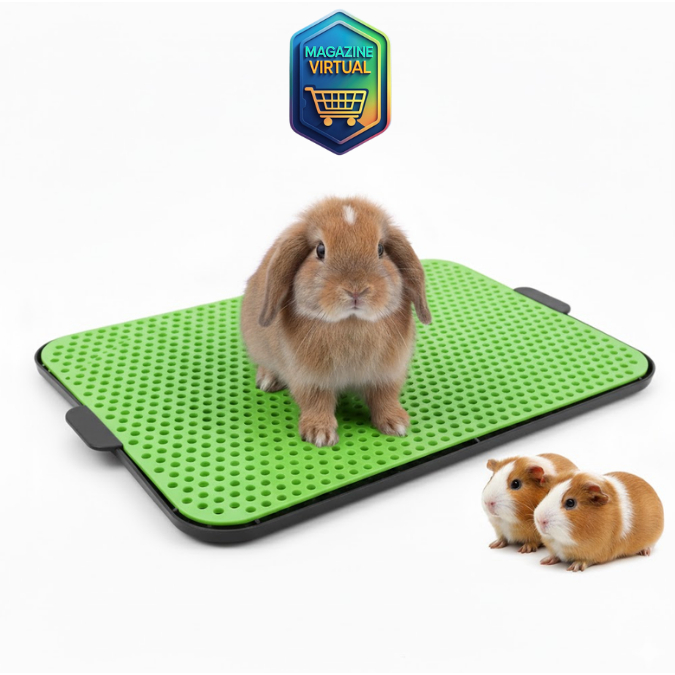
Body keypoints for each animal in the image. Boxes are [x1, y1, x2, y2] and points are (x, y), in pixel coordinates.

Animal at [534, 471, 664, 571]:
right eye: (548, 492)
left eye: (570, 502)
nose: (540, 520)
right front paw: (545, 561)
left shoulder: (600, 552)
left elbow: (587, 560)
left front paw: (575, 567)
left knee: (651, 546)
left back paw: (645, 552)